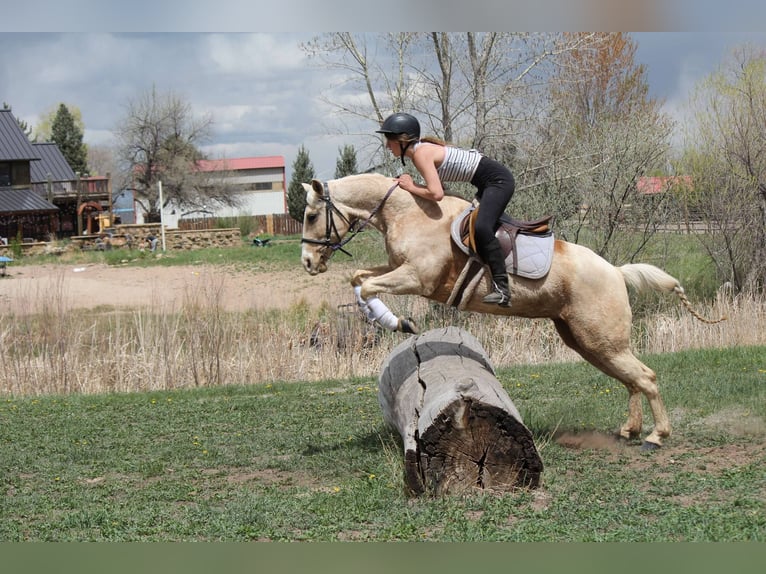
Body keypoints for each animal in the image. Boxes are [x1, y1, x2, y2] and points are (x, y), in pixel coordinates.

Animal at [300, 173, 724, 448]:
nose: (307, 262)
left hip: (601, 340)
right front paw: (393, 320)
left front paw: (397, 322)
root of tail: (617, 272)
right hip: (588, 342)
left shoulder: (417, 278)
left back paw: (656, 436)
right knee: (631, 380)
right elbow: (359, 278)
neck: (409, 211)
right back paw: (629, 431)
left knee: (645, 377)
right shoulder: (398, 270)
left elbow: (366, 284)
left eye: (309, 216)